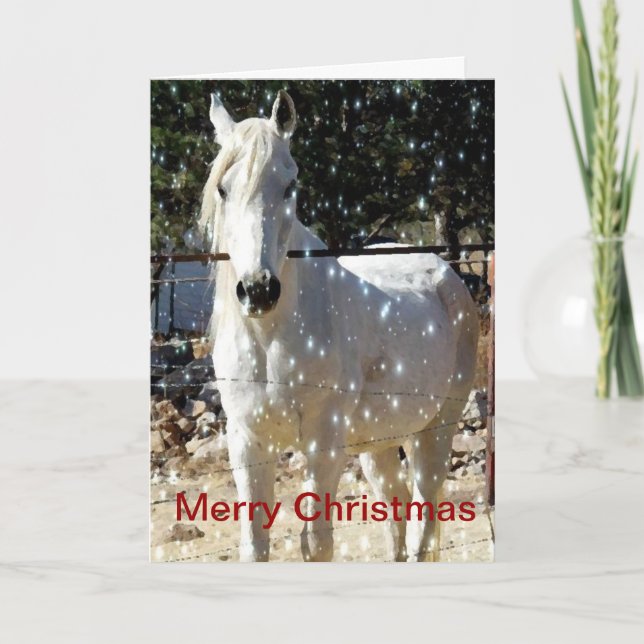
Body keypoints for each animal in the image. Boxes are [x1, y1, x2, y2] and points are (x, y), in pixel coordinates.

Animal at [198, 90, 478, 562]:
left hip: (435, 432)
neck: (270, 337)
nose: (258, 291)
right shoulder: (247, 442)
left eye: (289, 185)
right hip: (378, 444)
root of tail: (448, 276)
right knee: (397, 511)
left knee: (422, 524)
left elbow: (317, 543)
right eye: (223, 187)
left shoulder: (322, 442)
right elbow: (254, 543)